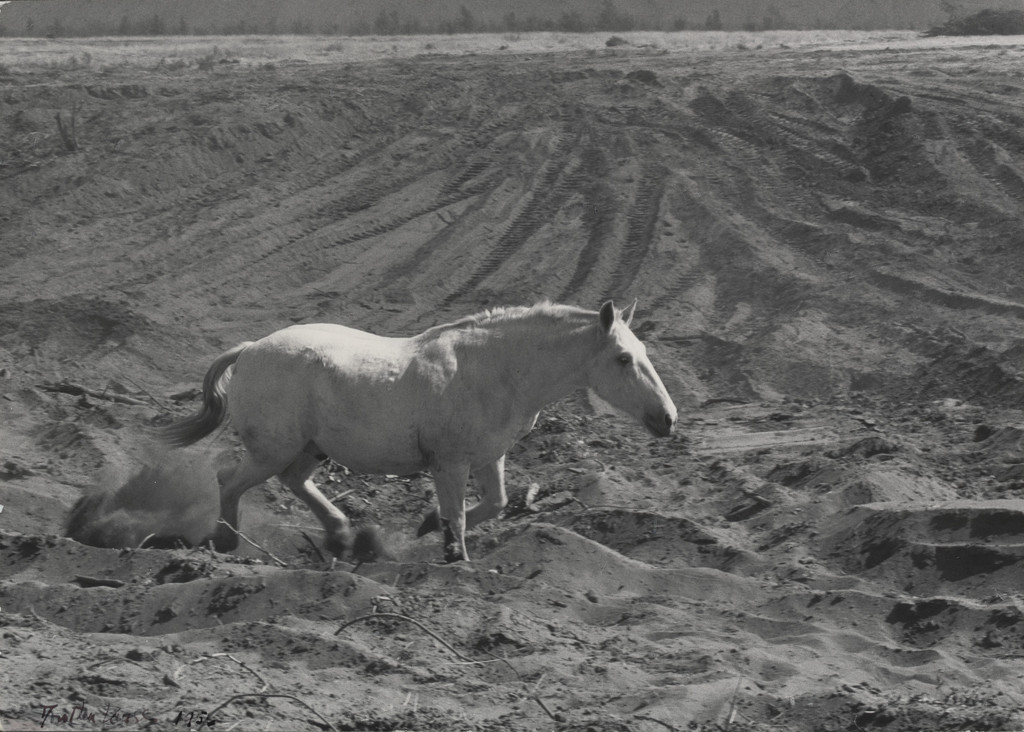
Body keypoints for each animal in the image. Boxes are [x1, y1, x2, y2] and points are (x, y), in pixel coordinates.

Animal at [157, 299, 677, 562]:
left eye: (643, 351)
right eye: (623, 358)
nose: (668, 418)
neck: (494, 369)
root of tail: (249, 350)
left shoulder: (489, 456)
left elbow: (494, 504)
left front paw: (429, 526)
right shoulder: (449, 463)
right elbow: (460, 515)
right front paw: (454, 555)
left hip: (310, 449)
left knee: (294, 482)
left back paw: (342, 537)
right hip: (273, 449)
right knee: (229, 482)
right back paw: (224, 543)